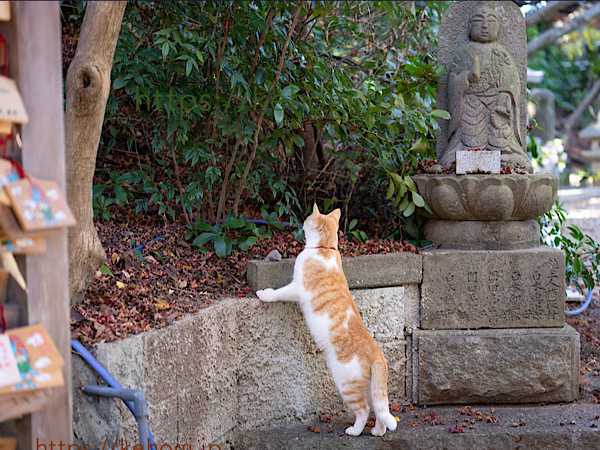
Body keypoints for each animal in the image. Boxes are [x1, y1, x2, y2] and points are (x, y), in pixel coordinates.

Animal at [255, 204, 396, 436]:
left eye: (307, 218)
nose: (301, 222)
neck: (326, 248)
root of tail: (377, 353)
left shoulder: (297, 288)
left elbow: (277, 293)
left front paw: (263, 294)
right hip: (370, 387)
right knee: (379, 408)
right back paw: (378, 432)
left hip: (347, 383)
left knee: (364, 410)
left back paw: (354, 431)